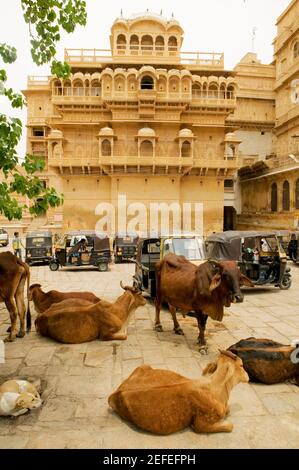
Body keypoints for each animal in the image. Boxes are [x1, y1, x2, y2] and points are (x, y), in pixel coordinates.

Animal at [109, 350, 250, 436]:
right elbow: (230, 425)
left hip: (144, 365)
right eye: (241, 365)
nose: (248, 376)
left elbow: (228, 410)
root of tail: (117, 391)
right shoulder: (201, 424)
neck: (216, 389)